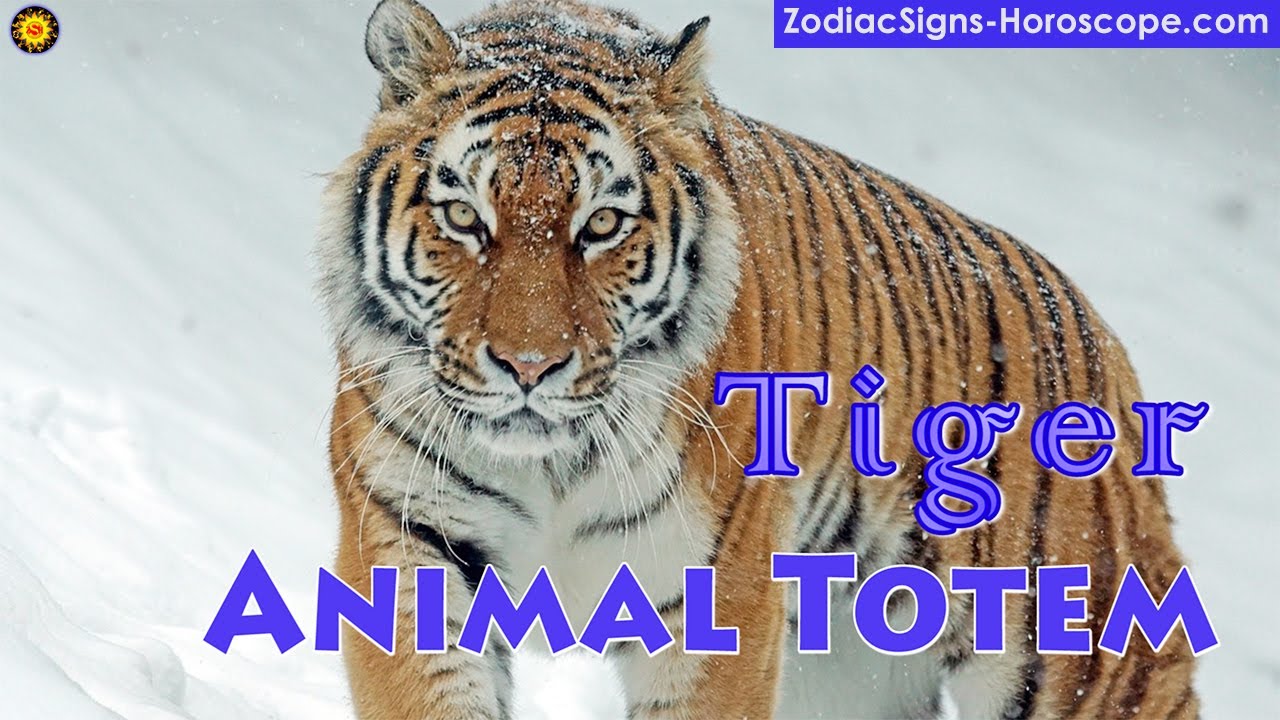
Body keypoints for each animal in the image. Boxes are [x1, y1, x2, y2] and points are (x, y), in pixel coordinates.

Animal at [315, 0, 1199, 717]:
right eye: (465, 216)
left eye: (601, 226)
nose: (529, 367)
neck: (552, 468)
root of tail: (1101, 338)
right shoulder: (407, 540)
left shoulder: (719, 600)